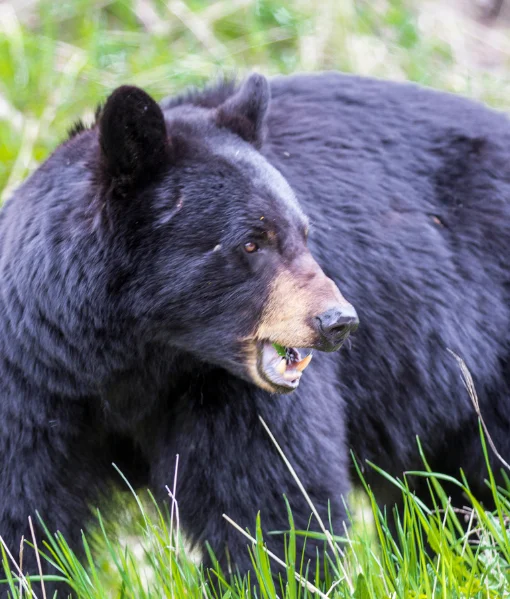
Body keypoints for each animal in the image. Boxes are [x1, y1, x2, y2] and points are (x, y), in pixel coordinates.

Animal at [0, 71, 508, 596]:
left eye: (304, 233)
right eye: (251, 242)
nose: (337, 321)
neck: (135, 359)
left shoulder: (229, 395)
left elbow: (267, 503)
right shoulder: (33, 380)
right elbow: (26, 520)